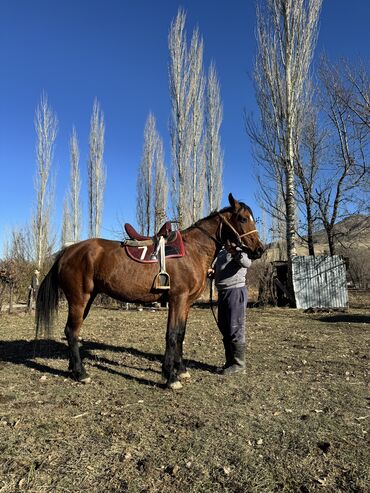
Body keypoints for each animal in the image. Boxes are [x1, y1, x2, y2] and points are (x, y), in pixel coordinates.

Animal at [36, 193, 264, 388]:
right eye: (243, 218)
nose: (259, 250)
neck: (193, 250)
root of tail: (67, 252)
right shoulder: (177, 299)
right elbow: (172, 334)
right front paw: (170, 377)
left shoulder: (186, 303)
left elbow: (181, 334)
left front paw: (181, 370)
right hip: (79, 299)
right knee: (72, 332)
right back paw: (81, 373)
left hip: (87, 299)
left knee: (71, 332)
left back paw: (73, 368)